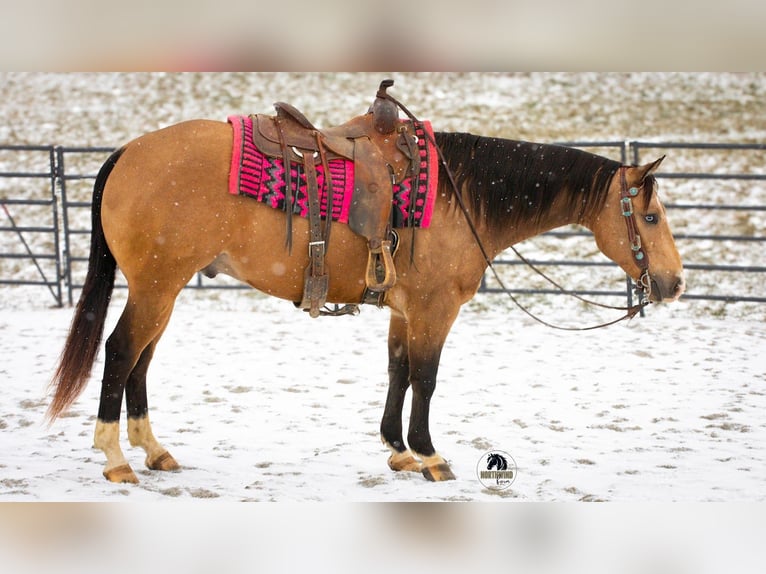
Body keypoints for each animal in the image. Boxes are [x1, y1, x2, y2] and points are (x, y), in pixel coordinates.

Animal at [47, 115, 685, 484]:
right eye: (651, 217)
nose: (675, 282)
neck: (463, 196)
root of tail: (128, 151)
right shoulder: (434, 309)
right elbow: (426, 378)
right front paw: (430, 455)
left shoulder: (403, 311)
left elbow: (397, 372)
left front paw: (397, 449)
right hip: (156, 287)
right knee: (120, 351)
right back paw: (116, 459)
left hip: (165, 289)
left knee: (141, 359)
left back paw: (154, 452)